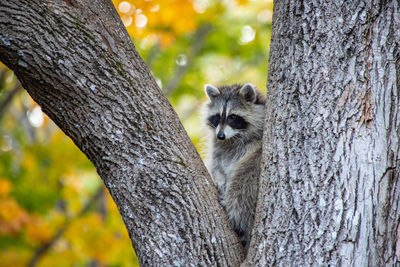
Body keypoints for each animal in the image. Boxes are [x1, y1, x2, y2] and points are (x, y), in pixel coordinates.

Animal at [203, 84, 266, 251]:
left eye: (233, 117)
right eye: (218, 116)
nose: (220, 135)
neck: (232, 138)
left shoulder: (255, 144)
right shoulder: (218, 146)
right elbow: (216, 163)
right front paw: (218, 177)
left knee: (242, 183)